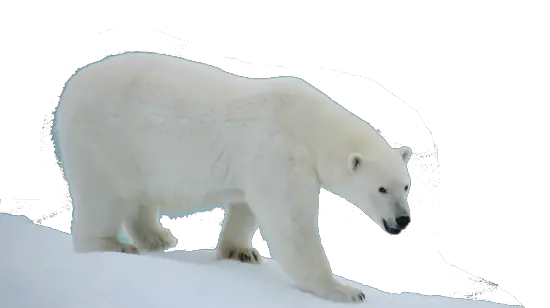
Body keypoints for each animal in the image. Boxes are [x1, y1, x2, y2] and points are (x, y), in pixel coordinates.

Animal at [54, 52, 412, 304]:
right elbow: (291, 223)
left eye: (406, 186)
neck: (308, 123)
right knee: (103, 196)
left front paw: (240, 252)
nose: (401, 220)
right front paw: (345, 290)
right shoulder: (279, 150)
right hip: (105, 139)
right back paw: (112, 245)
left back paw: (158, 238)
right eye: (381, 188)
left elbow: (245, 205)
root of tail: (71, 85)